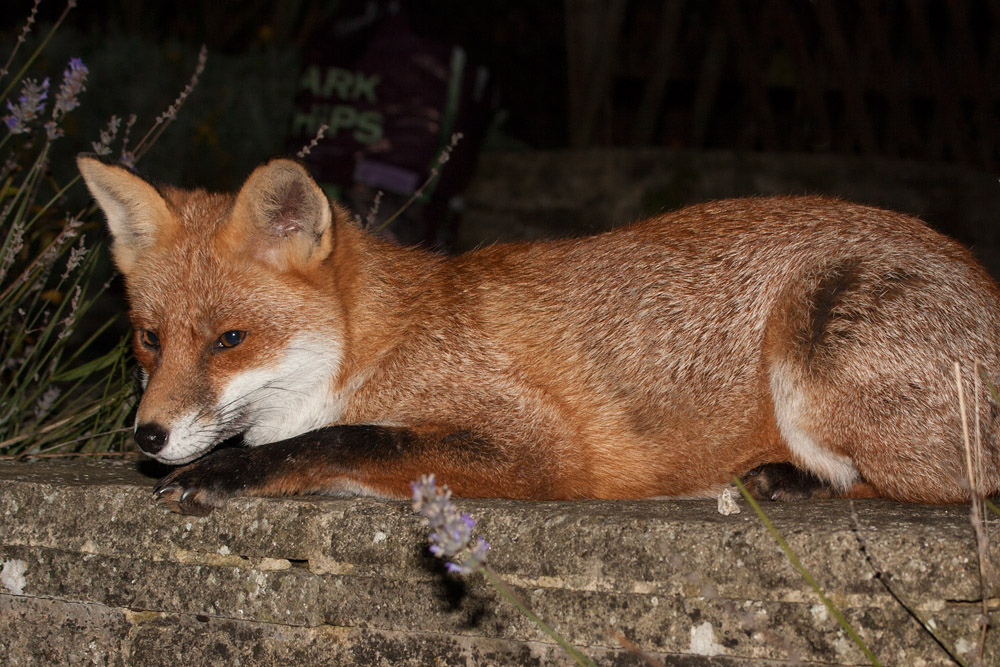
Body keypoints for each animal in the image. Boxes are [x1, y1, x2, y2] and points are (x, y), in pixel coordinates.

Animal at [77, 154, 1000, 515]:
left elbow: (347, 437)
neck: (371, 346)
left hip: (812, 349)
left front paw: (232, 471)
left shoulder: (533, 443)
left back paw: (785, 481)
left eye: (231, 339)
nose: (147, 435)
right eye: (149, 338)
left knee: (949, 486)